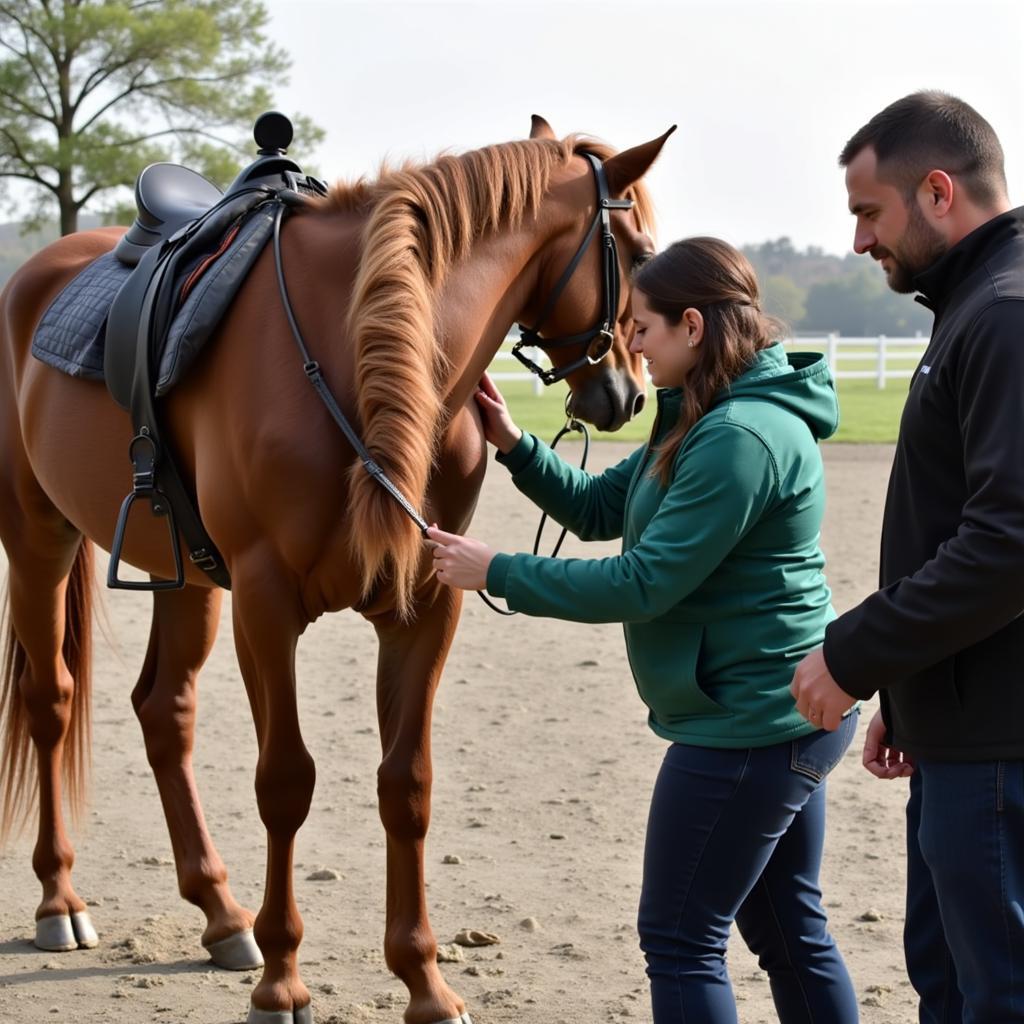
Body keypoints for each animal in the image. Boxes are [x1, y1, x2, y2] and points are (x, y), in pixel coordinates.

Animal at [0, 116, 667, 1019]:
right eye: (639, 253)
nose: (628, 395)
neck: (352, 358)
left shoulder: (427, 604)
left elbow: (407, 786)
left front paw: (424, 981)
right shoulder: (266, 602)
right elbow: (285, 782)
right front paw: (284, 981)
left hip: (190, 580)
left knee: (163, 712)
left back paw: (219, 913)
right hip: (40, 537)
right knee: (52, 702)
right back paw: (59, 901)